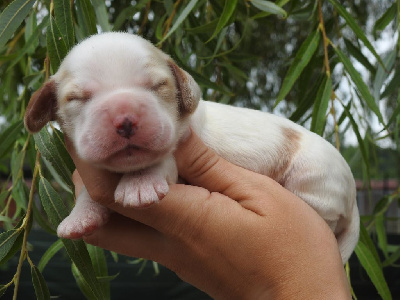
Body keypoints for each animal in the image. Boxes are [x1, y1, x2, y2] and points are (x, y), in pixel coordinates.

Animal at [25, 32, 360, 262]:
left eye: (157, 86)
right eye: (77, 98)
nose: (125, 119)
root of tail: (353, 196)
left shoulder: (178, 146)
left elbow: (161, 162)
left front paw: (139, 185)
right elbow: (88, 194)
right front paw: (80, 218)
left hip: (312, 179)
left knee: (326, 218)